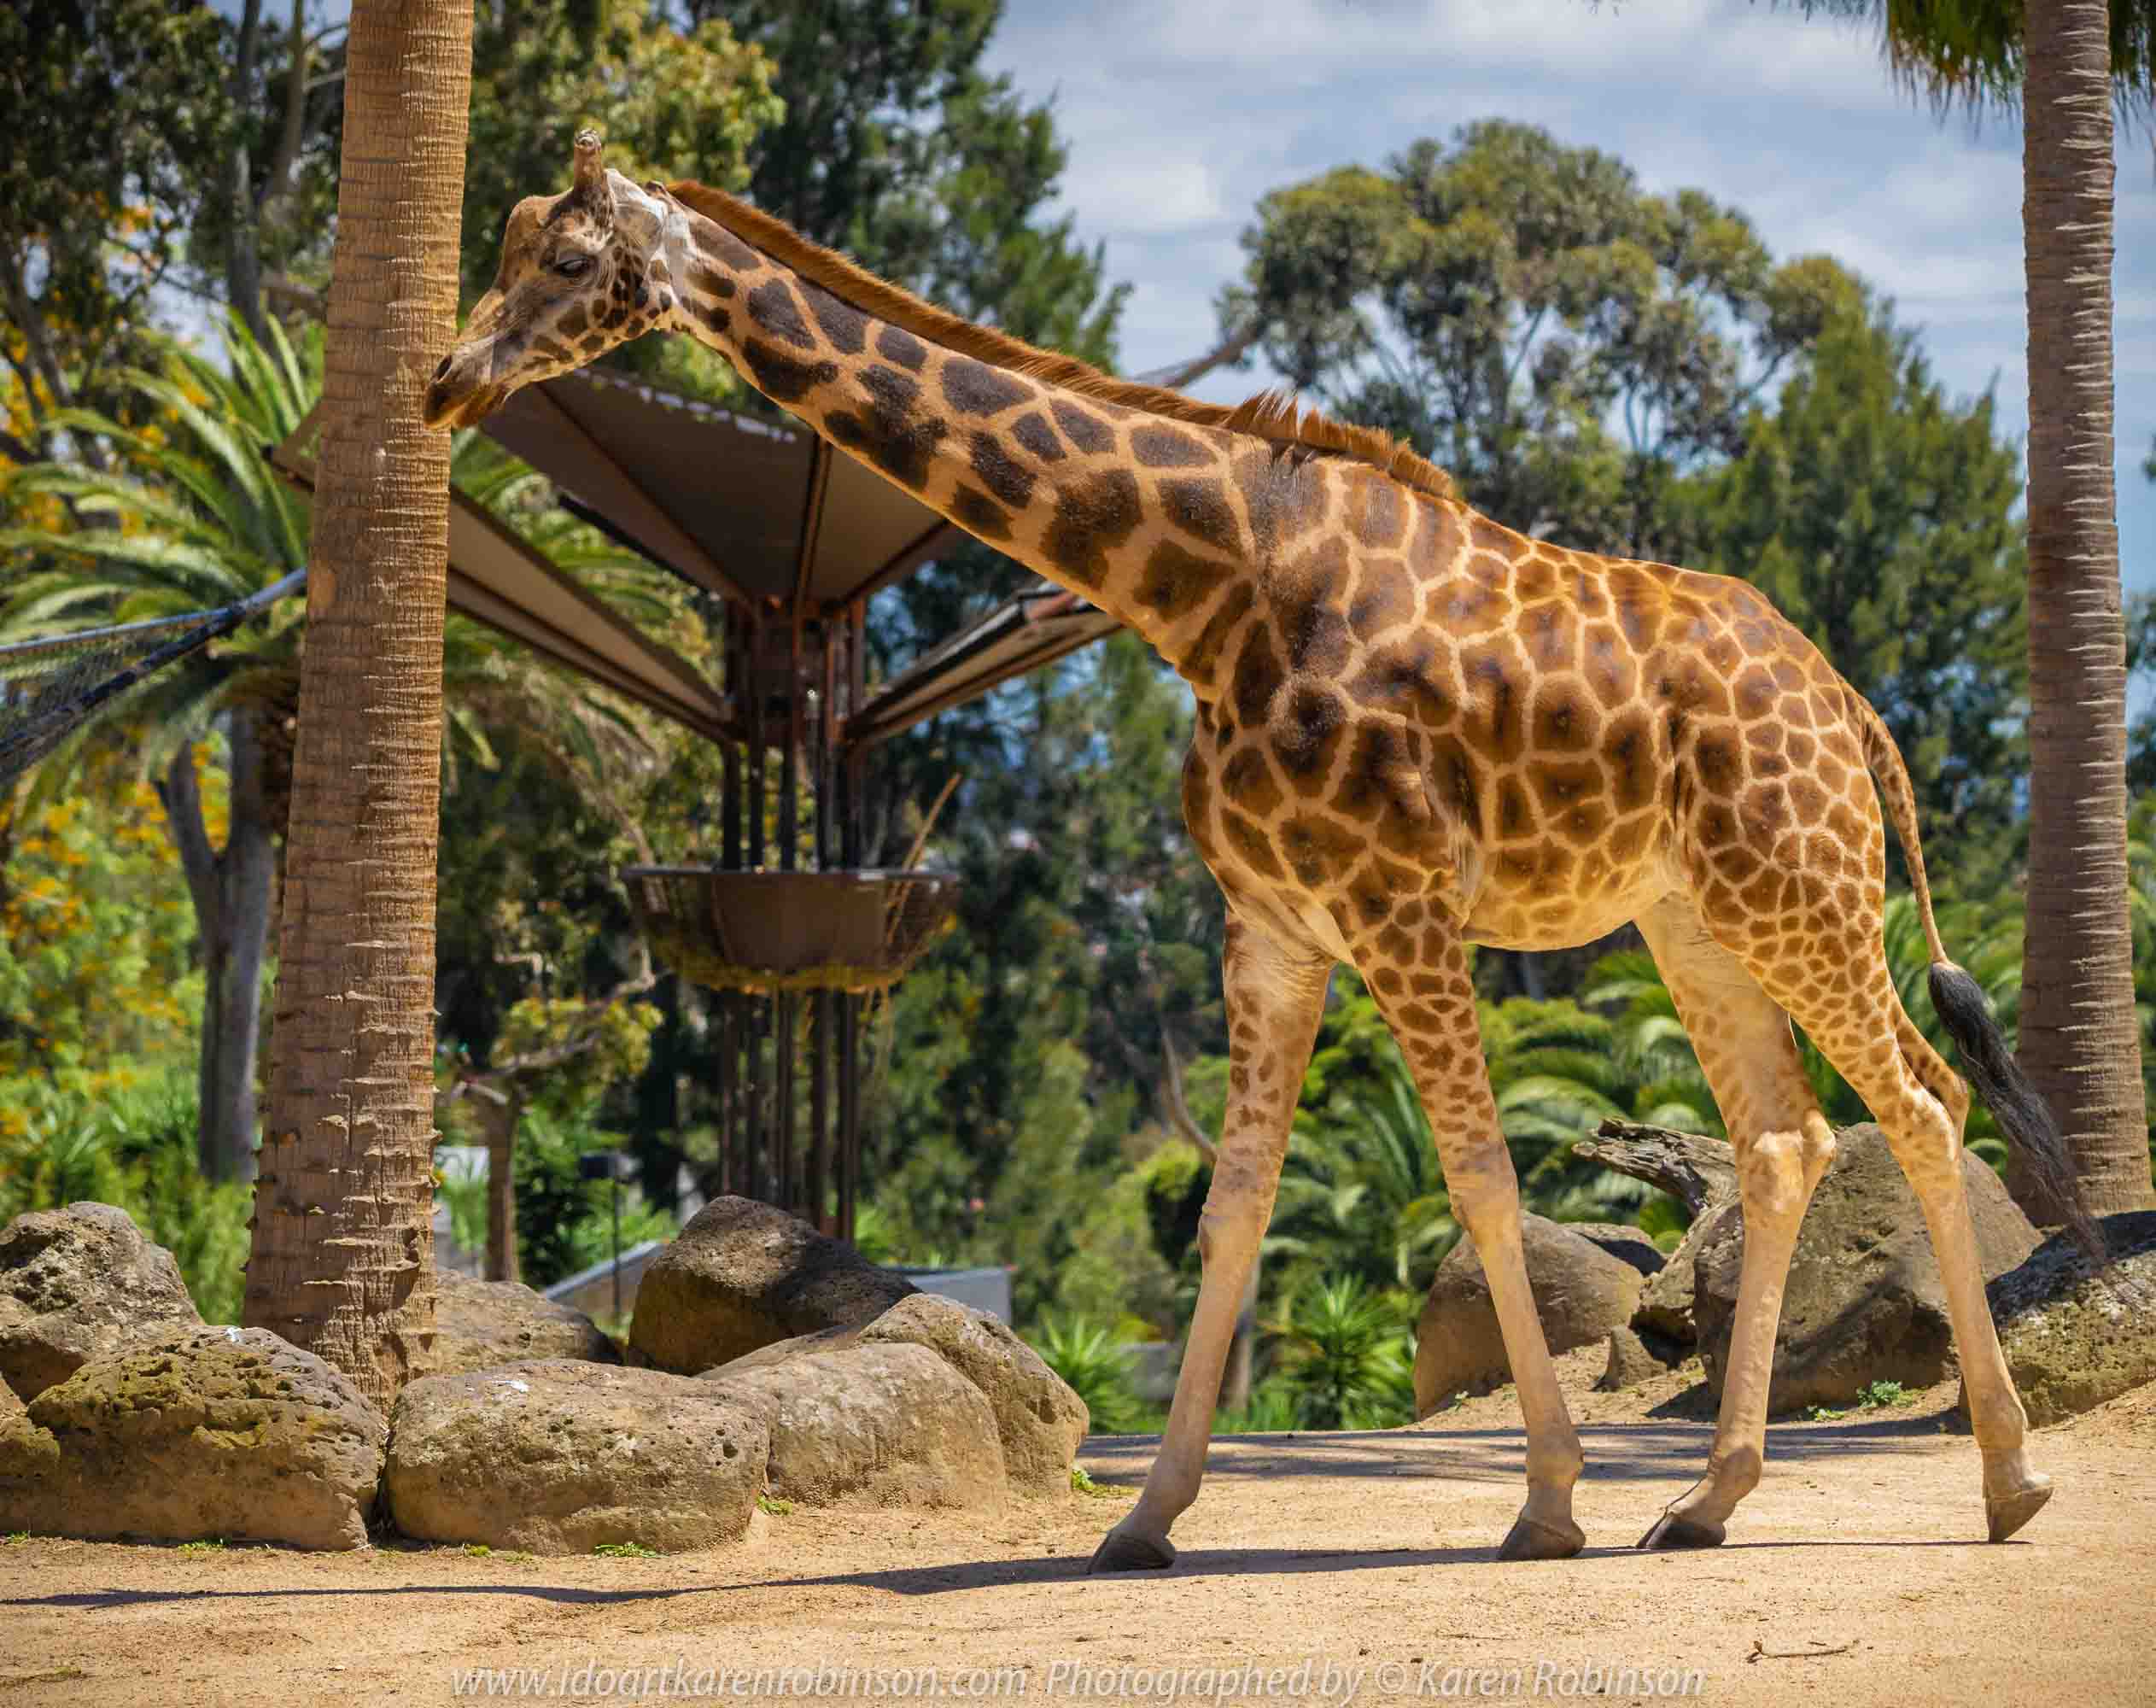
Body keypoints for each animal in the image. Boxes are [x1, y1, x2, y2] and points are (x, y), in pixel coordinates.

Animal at [427, 132, 2090, 1568]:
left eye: (567, 257)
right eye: (502, 242)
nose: (448, 378)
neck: (1209, 587)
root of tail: (1849, 702)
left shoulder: (1399, 906)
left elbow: (1478, 1180)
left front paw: (1548, 1503)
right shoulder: (1271, 926)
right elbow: (1232, 1210)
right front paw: (1143, 1517)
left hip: (1799, 890)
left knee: (1923, 1103)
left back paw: (2009, 1481)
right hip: (1696, 915)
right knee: (1785, 1138)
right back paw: (1710, 1500)